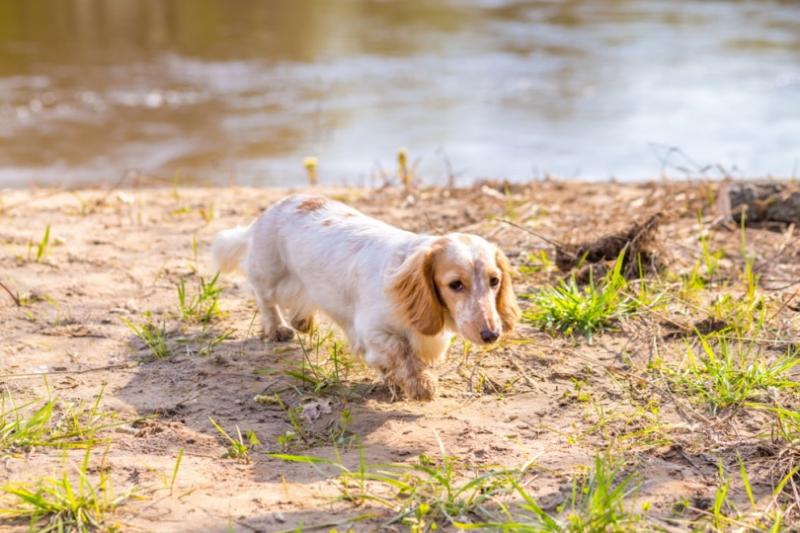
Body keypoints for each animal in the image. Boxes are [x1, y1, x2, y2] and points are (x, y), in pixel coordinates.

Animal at [211, 194, 520, 400]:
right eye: (455, 284)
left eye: (494, 281)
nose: (491, 334)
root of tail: (271, 210)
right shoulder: (372, 331)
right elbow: (402, 353)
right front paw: (421, 386)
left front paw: (397, 382)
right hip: (268, 273)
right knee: (265, 300)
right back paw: (277, 329)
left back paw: (302, 321)